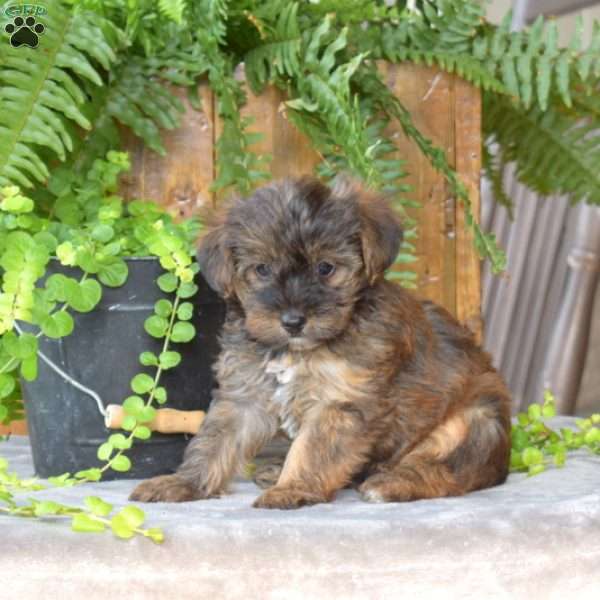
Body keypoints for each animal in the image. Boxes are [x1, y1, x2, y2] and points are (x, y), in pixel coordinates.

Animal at [131, 176, 510, 508]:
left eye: (325, 268)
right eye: (262, 269)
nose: (293, 321)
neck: (297, 351)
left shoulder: (339, 403)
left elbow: (312, 450)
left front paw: (292, 488)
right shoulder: (244, 396)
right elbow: (214, 442)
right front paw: (183, 482)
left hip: (474, 422)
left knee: (445, 469)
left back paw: (389, 483)